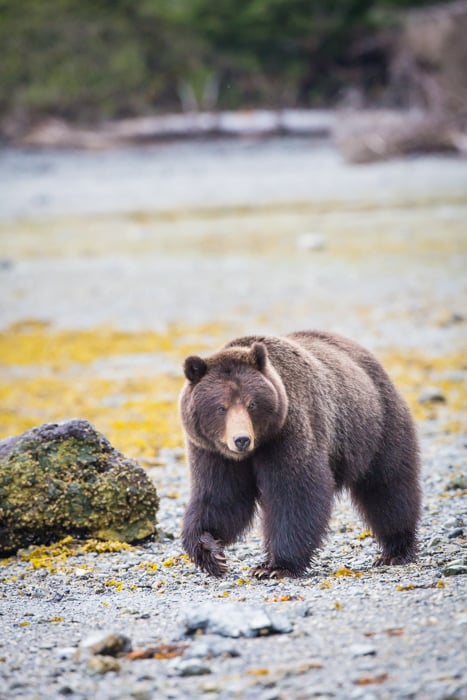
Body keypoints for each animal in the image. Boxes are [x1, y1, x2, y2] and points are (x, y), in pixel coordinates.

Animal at [180, 330, 421, 579]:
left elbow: (295, 493)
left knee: (387, 489)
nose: (241, 440)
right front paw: (211, 553)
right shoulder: (214, 453)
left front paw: (274, 566)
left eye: (252, 404)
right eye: (221, 407)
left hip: (375, 426)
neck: (257, 447)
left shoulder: (288, 432)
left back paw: (395, 551)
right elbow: (222, 498)